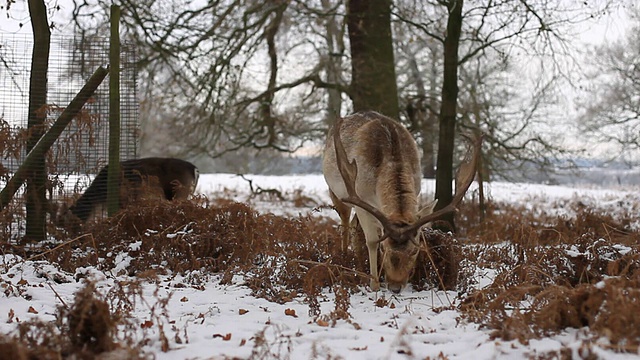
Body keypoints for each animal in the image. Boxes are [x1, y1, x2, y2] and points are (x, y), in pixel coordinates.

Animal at [324, 111, 480, 294]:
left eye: (414, 251)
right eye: (383, 248)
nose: (395, 286)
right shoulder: (360, 198)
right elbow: (371, 240)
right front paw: (374, 284)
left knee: (354, 225)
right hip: (337, 194)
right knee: (345, 222)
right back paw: (345, 258)